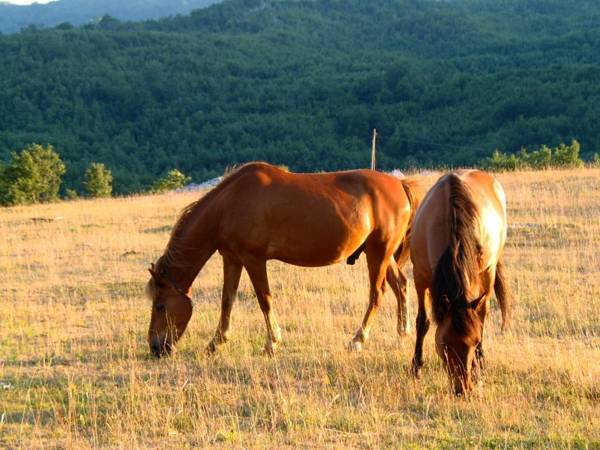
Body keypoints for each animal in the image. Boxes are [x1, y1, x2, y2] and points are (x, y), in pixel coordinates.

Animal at [145, 163, 426, 358]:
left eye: (160, 306)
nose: (156, 348)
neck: (229, 204)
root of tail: (400, 185)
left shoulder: (254, 259)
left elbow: (264, 299)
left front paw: (272, 343)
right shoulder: (232, 259)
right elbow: (227, 301)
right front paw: (216, 342)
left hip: (379, 253)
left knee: (377, 294)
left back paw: (358, 339)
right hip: (380, 253)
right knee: (400, 286)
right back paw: (402, 334)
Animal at [408, 171, 510, 396]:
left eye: (474, 342)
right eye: (444, 344)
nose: (462, 389)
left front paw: (477, 366)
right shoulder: (420, 276)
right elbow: (423, 321)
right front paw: (416, 368)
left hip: (488, 272)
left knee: (483, 312)